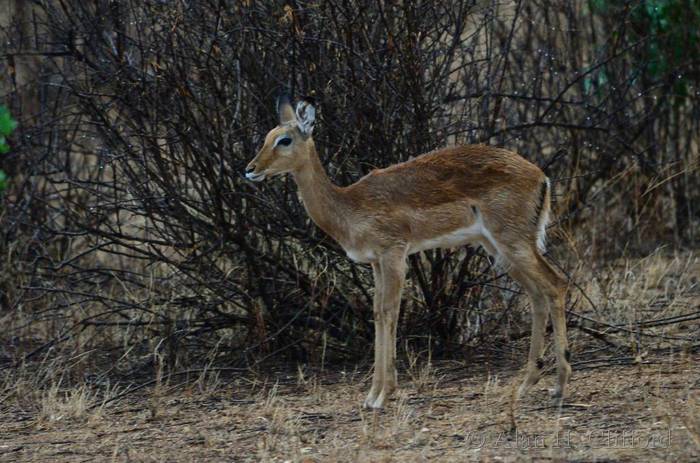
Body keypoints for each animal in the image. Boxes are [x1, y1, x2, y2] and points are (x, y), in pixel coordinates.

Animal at [245, 95, 571, 409]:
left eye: (284, 139)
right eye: (267, 136)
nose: (250, 170)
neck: (347, 205)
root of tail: (540, 176)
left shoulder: (394, 255)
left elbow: (390, 311)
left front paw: (382, 396)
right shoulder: (376, 263)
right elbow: (378, 313)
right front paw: (371, 395)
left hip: (514, 244)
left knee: (556, 283)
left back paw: (559, 386)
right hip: (499, 249)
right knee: (537, 294)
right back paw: (527, 384)